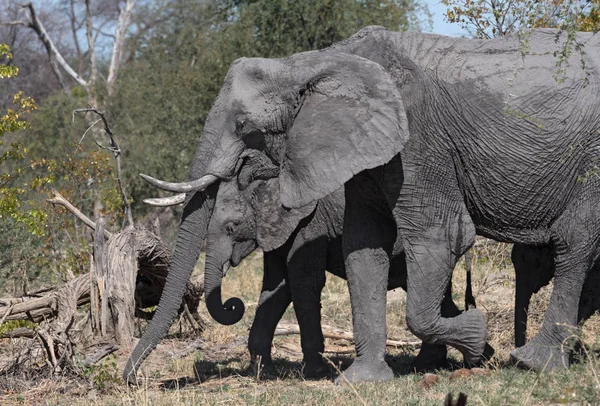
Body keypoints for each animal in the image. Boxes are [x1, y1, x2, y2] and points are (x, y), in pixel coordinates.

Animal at [122, 26, 600, 384]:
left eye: (243, 125)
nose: (132, 377)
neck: (313, 61)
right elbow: (361, 246)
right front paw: (361, 380)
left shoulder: (417, 139)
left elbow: (439, 237)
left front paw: (478, 337)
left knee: (573, 242)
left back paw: (531, 362)